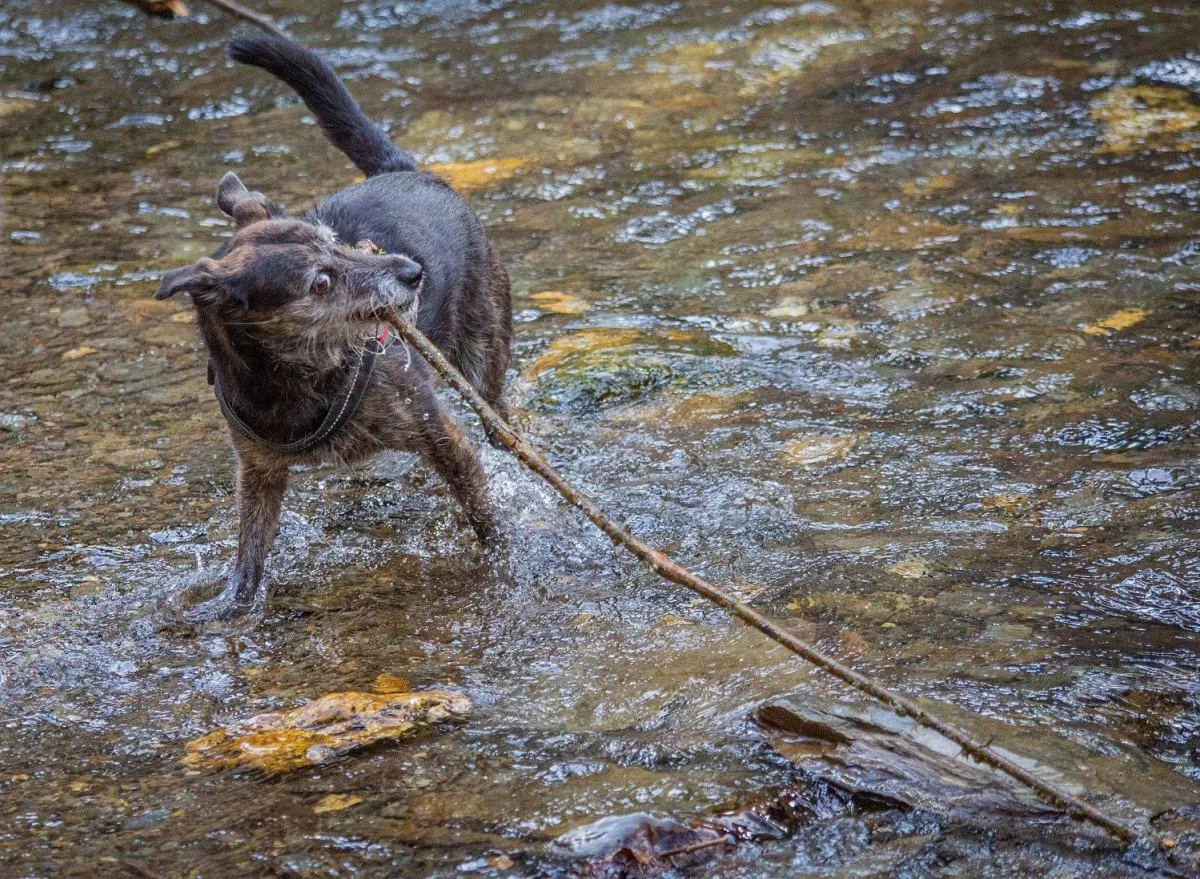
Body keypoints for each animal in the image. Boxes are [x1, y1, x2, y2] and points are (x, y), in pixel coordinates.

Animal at [154, 37, 511, 619]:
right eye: (320, 282)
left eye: (336, 241)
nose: (413, 272)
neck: (297, 377)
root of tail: (405, 169)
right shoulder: (258, 473)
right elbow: (249, 555)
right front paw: (229, 610)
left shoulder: (440, 434)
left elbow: (483, 514)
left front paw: (506, 557)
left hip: (485, 358)